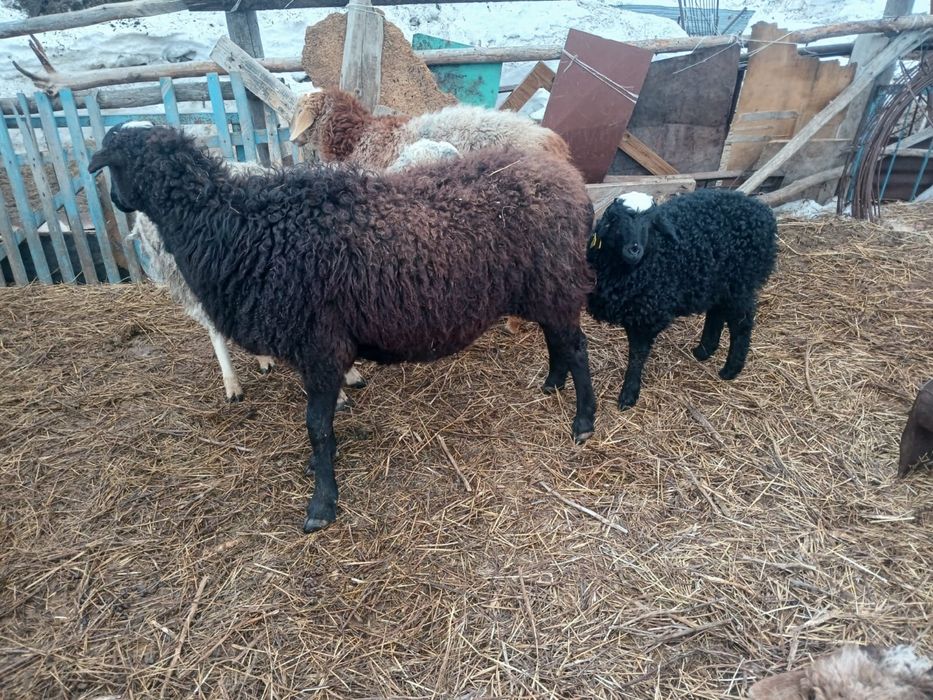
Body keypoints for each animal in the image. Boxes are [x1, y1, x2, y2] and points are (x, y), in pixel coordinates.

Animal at [586, 188, 778, 410]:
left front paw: (628, 395)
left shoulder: (647, 315)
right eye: (616, 220)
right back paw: (703, 351)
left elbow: (637, 355)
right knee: (716, 312)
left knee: (742, 325)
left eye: (651, 224)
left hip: (740, 285)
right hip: (718, 283)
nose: (634, 250)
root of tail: (762, 211)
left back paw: (730, 369)